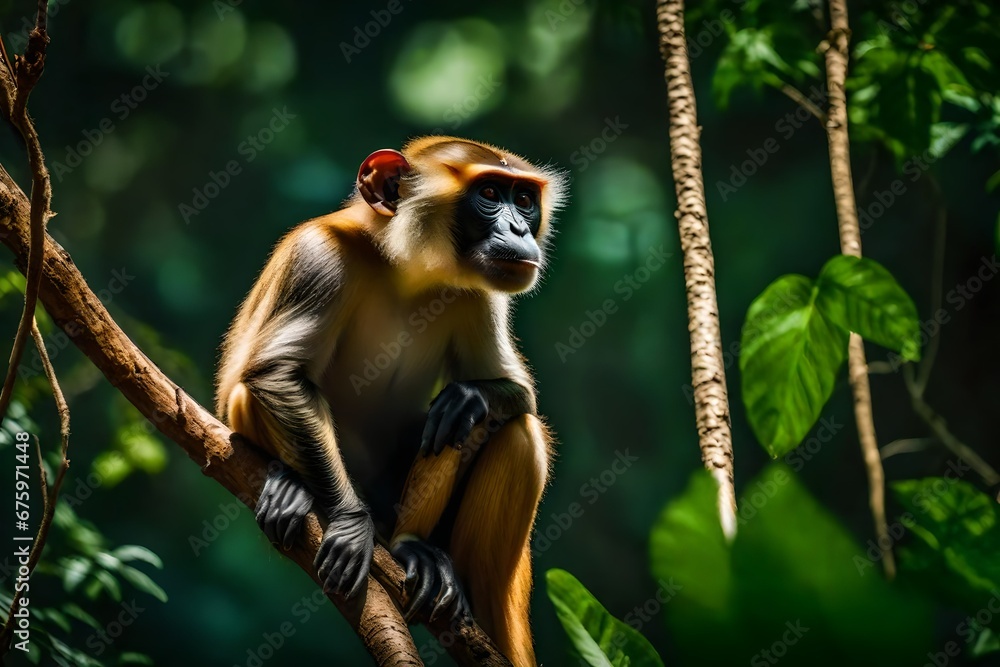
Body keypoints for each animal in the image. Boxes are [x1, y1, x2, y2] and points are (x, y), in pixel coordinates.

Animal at [215, 136, 565, 666]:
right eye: (489, 193)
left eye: (524, 200)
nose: (520, 228)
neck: (404, 269)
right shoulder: (318, 256)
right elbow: (275, 374)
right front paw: (348, 523)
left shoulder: (479, 294)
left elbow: (517, 393)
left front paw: (471, 396)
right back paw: (292, 489)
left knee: (508, 431)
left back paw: (412, 547)